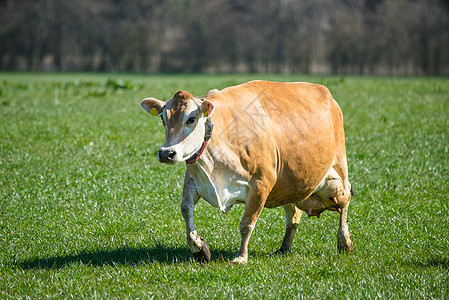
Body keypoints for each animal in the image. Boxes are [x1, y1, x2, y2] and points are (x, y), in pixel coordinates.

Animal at [140, 81, 354, 264]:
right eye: (163, 118)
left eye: (191, 119)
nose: (166, 153)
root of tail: (325, 92)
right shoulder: (193, 181)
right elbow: (186, 210)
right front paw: (199, 248)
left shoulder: (261, 184)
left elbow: (246, 224)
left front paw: (241, 256)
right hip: (291, 185)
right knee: (293, 216)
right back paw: (284, 248)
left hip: (340, 167)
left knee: (344, 202)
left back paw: (344, 242)